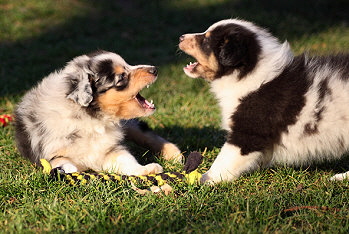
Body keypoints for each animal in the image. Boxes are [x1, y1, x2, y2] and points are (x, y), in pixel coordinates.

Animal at [14, 51, 181, 176]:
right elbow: (63, 163)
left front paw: (146, 169)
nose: (155, 69)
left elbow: (127, 160)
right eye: (122, 77)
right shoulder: (53, 154)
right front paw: (65, 170)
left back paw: (175, 154)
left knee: (146, 134)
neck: (92, 118)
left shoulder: (110, 149)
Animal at [179, 18, 348, 183]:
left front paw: (205, 180)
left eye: (206, 41)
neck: (249, 75)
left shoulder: (248, 132)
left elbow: (224, 160)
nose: (181, 37)